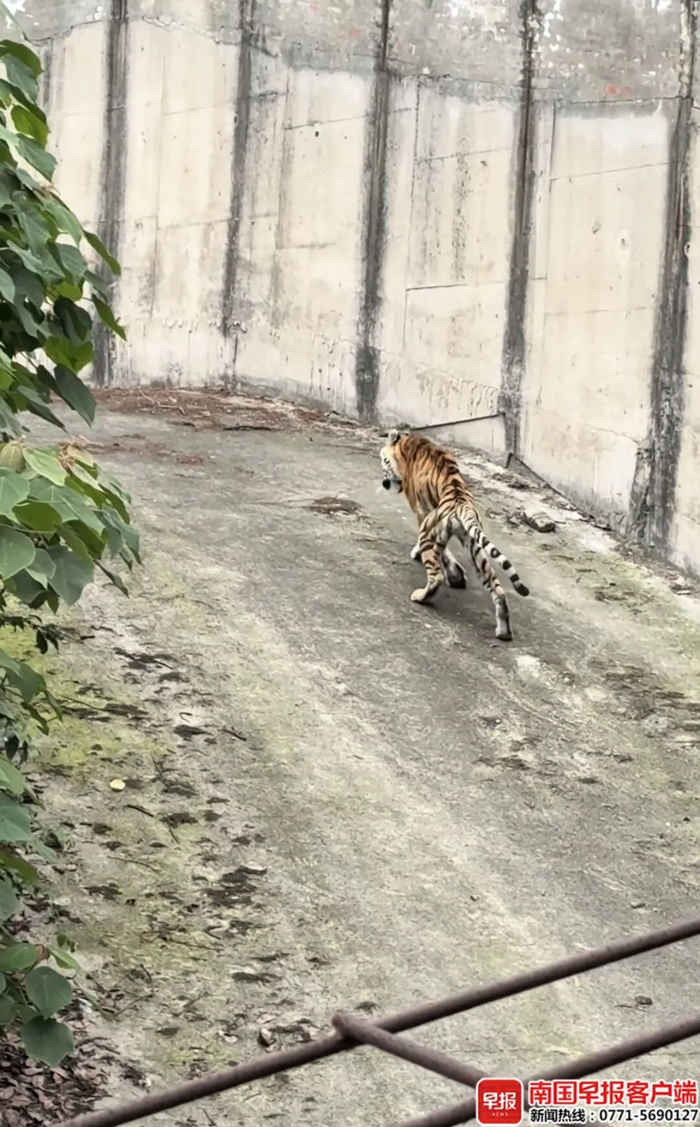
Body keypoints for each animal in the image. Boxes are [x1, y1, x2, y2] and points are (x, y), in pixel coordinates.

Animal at [379, 429, 529, 640]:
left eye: (384, 461)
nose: (384, 483)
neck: (407, 444)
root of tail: (461, 503)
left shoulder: (422, 513)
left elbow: (439, 552)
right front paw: (456, 575)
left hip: (430, 532)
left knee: (436, 576)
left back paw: (420, 597)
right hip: (475, 547)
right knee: (497, 589)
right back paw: (504, 632)